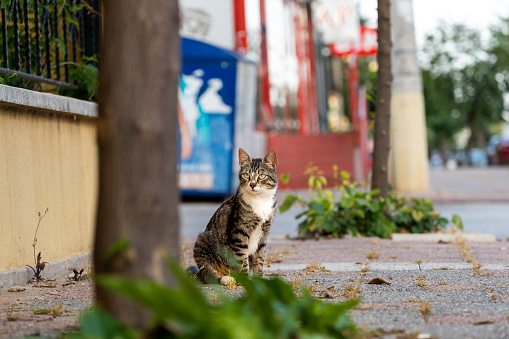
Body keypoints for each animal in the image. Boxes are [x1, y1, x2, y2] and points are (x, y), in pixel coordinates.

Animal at [191, 149, 278, 284]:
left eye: (262, 176)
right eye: (246, 175)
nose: (252, 184)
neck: (260, 200)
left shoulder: (263, 235)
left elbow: (259, 259)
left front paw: (259, 280)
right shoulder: (239, 234)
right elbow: (243, 260)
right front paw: (247, 281)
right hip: (202, 244)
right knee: (208, 274)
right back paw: (226, 278)